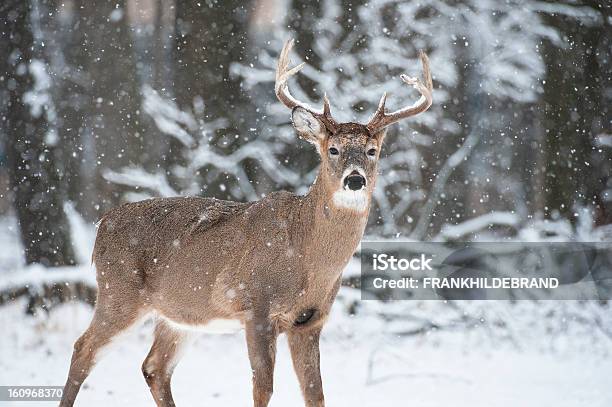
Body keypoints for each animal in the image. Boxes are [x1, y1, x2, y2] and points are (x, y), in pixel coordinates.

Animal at [58, 39, 430, 407]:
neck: (306, 256)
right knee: (82, 349)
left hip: (178, 315)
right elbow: (262, 387)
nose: (355, 180)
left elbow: (315, 393)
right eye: (333, 149)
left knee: (154, 367)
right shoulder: (257, 307)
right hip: (118, 292)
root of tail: (102, 224)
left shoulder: (310, 321)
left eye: (372, 150)